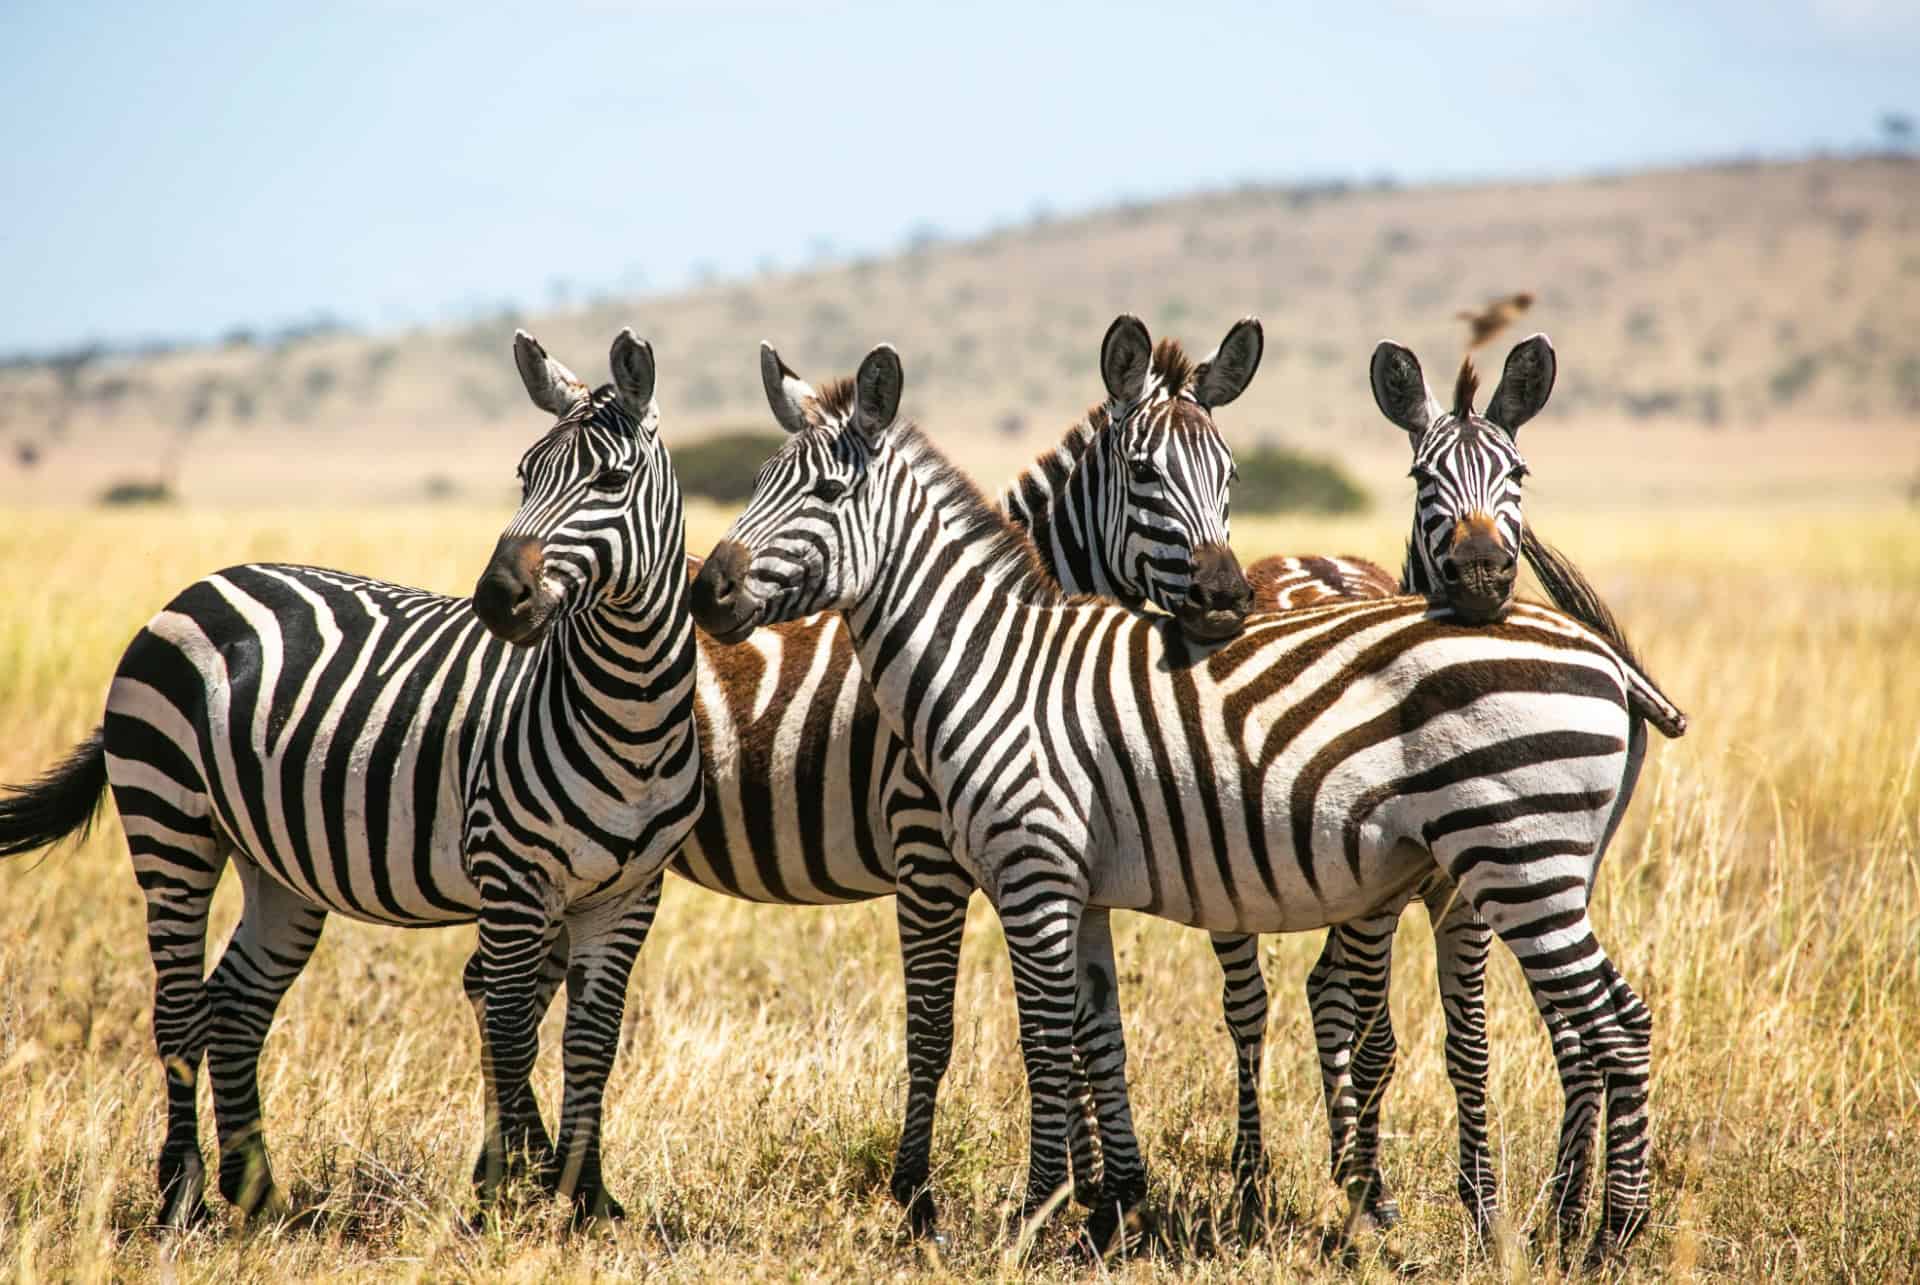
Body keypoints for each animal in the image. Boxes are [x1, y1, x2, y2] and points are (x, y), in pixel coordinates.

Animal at [0, 328, 702, 1221]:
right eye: (524, 474)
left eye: (611, 480)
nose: (497, 598)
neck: (631, 711)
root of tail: (199, 584)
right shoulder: (511, 877)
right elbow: (512, 1027)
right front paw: (508, 1192)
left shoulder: (629, 892)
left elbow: (592, 1039)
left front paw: (588, 1196)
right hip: (170, 822)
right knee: (178, 1009)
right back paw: (183, 1194)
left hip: (277, 865)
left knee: (236, 1005)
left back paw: (257, 1189)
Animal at [691, 339, 1666, 1260]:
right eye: (759, 481)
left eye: (824, 491)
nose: (706, 590)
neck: (992, 660)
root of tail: (1597, 652)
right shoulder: (1074, 888)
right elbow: (1094, 1032)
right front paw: (1104, 1210)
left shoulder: (1021, 870)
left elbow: (1031, 1039)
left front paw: (1019, 1217)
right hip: (1525, 869)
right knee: (1599, 1022)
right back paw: (1582, 1226)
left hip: (1517, 860)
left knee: (1614, 1024)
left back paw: (1609, 1236)